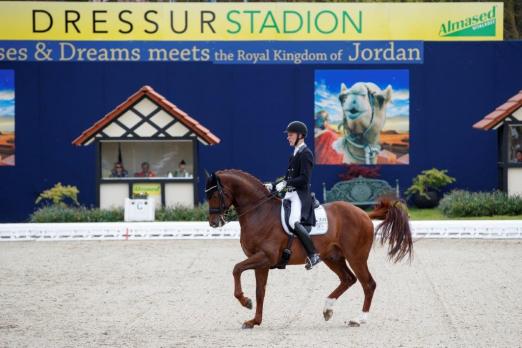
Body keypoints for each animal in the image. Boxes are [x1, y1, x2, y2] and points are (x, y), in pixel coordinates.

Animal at [203, 169, 410, 328]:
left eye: (214, 194)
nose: (214, 223)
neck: (259, 212)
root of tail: (364, 213)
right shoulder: (261, 262)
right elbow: (260, 291)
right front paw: (254, 320)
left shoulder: (265, 257)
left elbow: (236, 269)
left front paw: (245, 302)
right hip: (332, 257)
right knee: (348, 279)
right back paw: (327, 309)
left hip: (356, 257)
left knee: (368, 284)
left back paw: (358, 319)